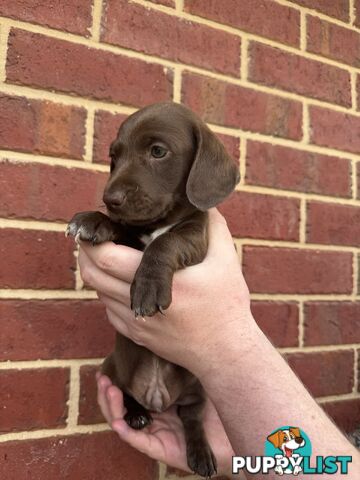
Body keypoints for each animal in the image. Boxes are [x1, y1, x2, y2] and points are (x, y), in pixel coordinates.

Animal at [67, 102, 239, 476]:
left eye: (158, 151)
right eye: (113, 156)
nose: (110, 198)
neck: (160, 222)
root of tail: (157, 397)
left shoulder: (196, 236)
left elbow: (167, 242)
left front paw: (148, 287)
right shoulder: (132, 234)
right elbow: (123, 228)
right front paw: (95, 220)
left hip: (197, 388)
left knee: (191, 418)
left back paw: (201, 453)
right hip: (112, 368)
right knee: (127, 393)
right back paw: (136, 414)